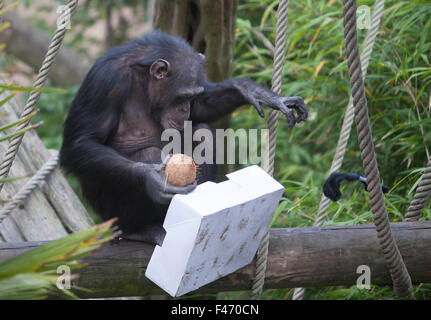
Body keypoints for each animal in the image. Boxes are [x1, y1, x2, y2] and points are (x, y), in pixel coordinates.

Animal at [60, 30, 308, 245]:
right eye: (182, 96)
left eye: (192, 97)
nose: (185, 109)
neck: (144, 81)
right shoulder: (105, 82)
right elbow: (82, 142)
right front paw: (152, 179)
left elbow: (203, 110)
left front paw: (254, 91)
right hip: (110, 216)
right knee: (146, 154)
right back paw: (140, 230)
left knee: (203, 131)